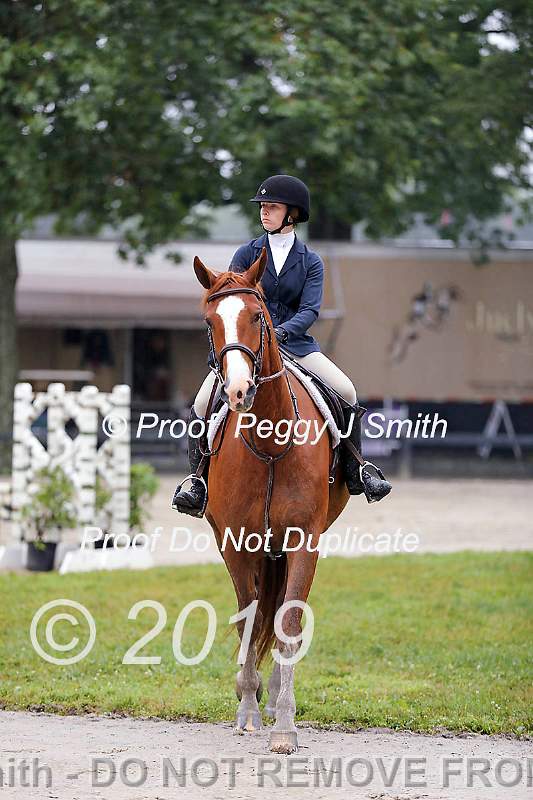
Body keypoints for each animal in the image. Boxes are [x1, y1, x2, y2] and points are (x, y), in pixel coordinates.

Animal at [193, 246, 350, 754]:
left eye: (259, 316)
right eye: (209, 322)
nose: (238, 392)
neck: (269, 441)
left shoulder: (304, 540)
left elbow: (289, 624)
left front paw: (284, 725)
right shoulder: (235, 542)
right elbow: (247, 619)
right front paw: (248, 708)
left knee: (282, 612)